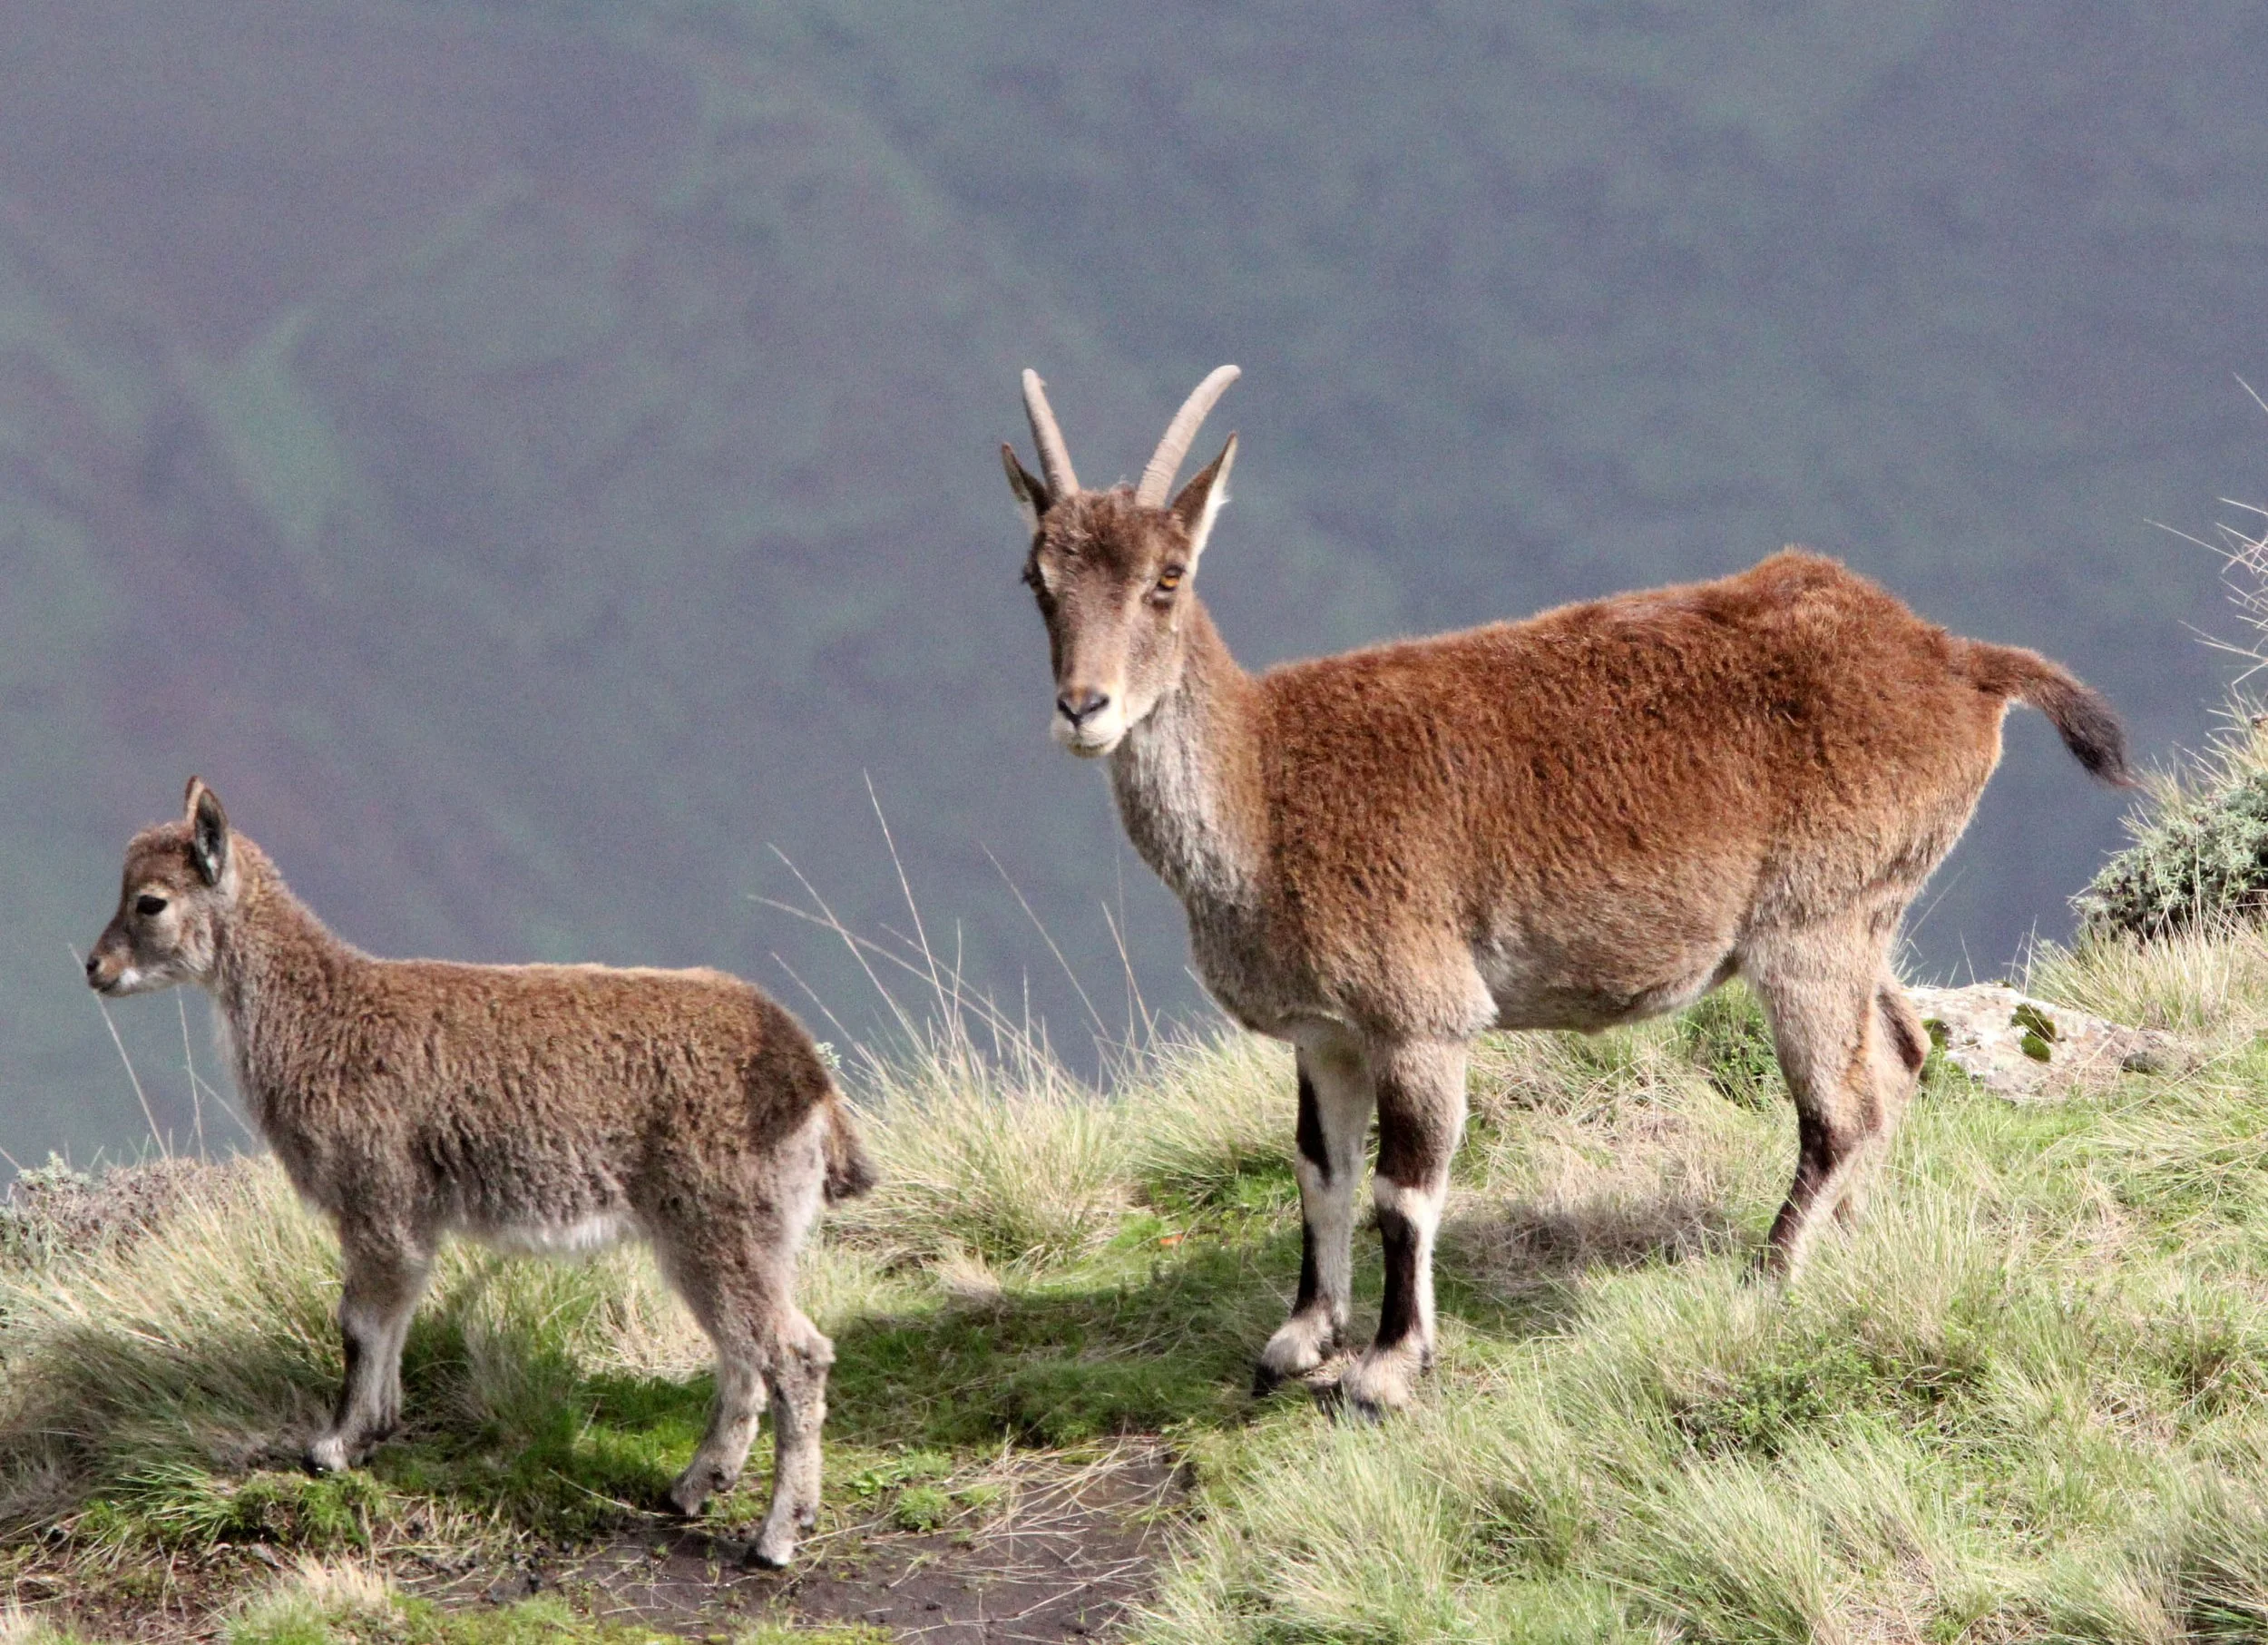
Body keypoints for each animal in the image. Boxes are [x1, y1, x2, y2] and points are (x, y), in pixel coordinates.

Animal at [84, 779, 873, 1566]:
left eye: (150, 901)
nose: (94, 967)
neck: (322, 1019)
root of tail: (811, 1082)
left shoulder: (378, 1197)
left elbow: (360, 1321)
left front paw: (333, 1446)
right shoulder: (407, 1219)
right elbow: (395, 1315)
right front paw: (375, 1431)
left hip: (725, 1226)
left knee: (795, 1356)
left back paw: (777, 1533)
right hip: (721, 1239)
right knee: (743, 1356)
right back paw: (693, 1486)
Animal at [1001, 366, 2131, 1415]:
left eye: (1168, 576)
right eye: (1035, 577)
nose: (1083, 707)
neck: (1267, 791)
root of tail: (1955, 661)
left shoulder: (1421, 1013)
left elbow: (1403, 1191)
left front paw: (1387, 1368)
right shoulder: (1325, 1033)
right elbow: (1320, 1172)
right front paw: (1296, 1341)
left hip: (1812, 924)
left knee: (1840, 1107)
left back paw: (1765, 1277)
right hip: (1864, 915)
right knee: (1895, 1052)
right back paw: (1847, 1245)